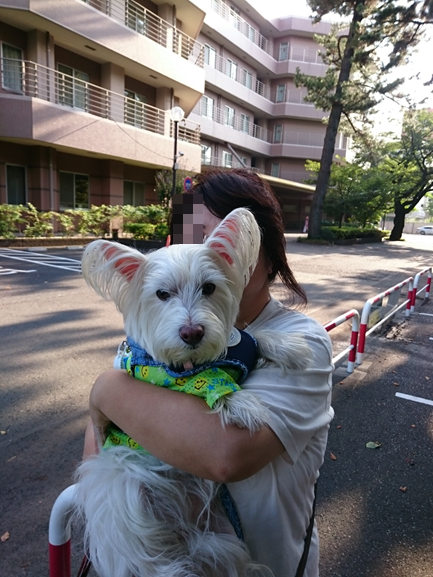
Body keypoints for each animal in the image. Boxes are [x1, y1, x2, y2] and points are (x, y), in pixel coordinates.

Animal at [75, 207, 310, 576]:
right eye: (161, 294)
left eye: (209, 287)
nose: (192, 333)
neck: (197, 358)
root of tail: (180, 525)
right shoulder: (162, 374)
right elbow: (209, 381)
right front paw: (242, 404)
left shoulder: (236, 344)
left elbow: (255, 338)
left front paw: (289, 347)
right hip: (122, 490)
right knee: (153, 556)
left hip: (218, 528)